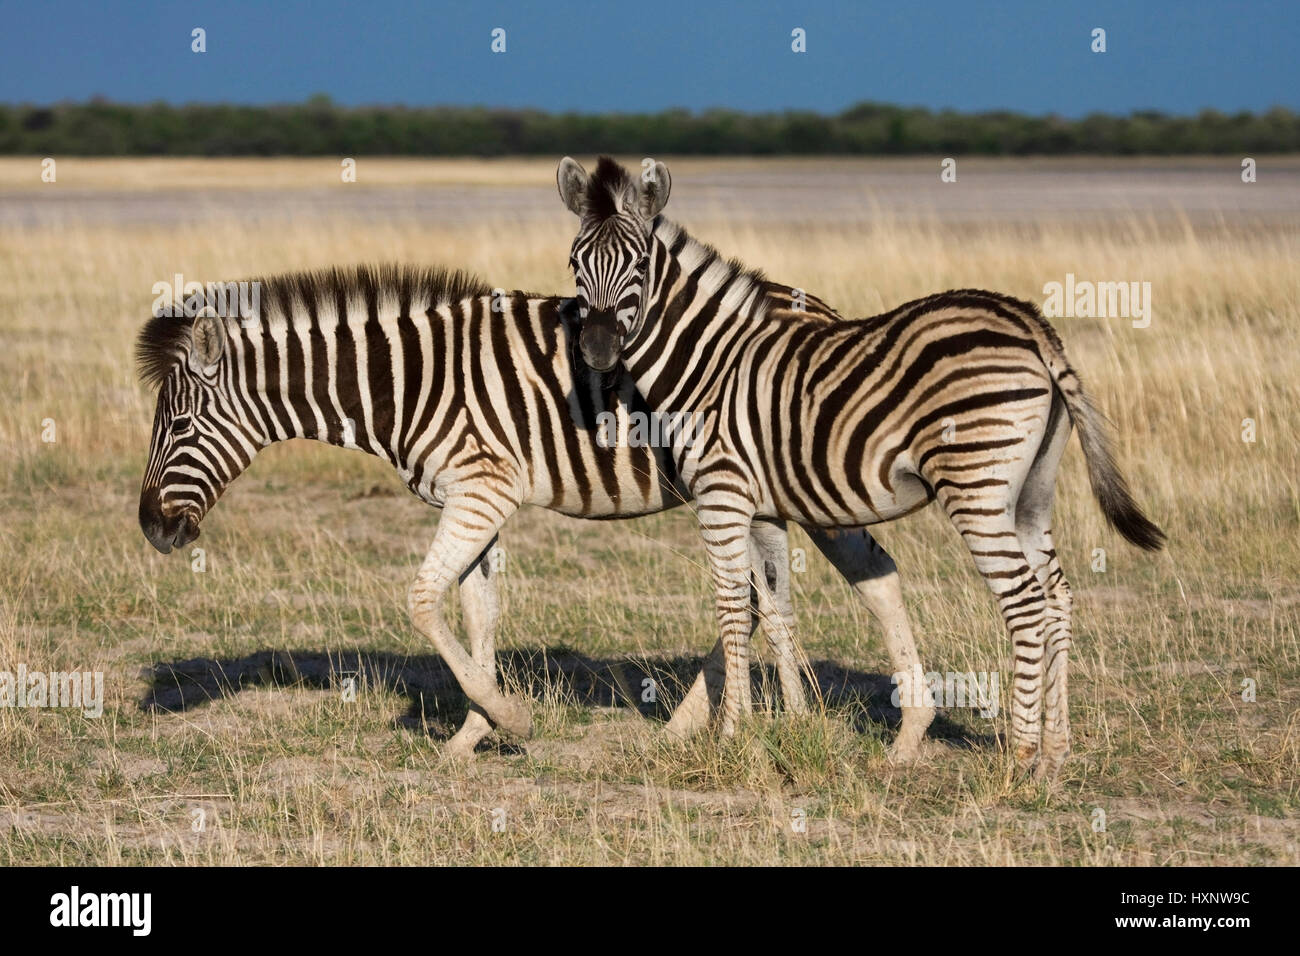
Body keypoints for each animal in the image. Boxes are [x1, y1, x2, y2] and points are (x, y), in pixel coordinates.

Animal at [137, 261, 935, 754]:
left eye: (179, 427)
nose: (152, 529)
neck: (406, 383)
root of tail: (818, 307)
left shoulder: (480, 491)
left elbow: (422, 599)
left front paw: (509, 717)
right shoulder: (478, 497)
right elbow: (477, 612)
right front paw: (472, 734)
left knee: (833, 582)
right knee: (831, 580)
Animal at [553, 151, 1164, 780]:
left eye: (638, 264)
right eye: (574, 262)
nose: (596, 350)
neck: (709, 364)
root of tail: (1030, 325)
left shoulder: (722, 495)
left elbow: (732, 607)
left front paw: (730, 736)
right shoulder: (764, 510)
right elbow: (776, 607)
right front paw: (791, 729)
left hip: (976, 485)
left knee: (1024, 604)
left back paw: (1019, 760)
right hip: (1031, 493)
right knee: (1058, 596)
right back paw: (1055, 753)